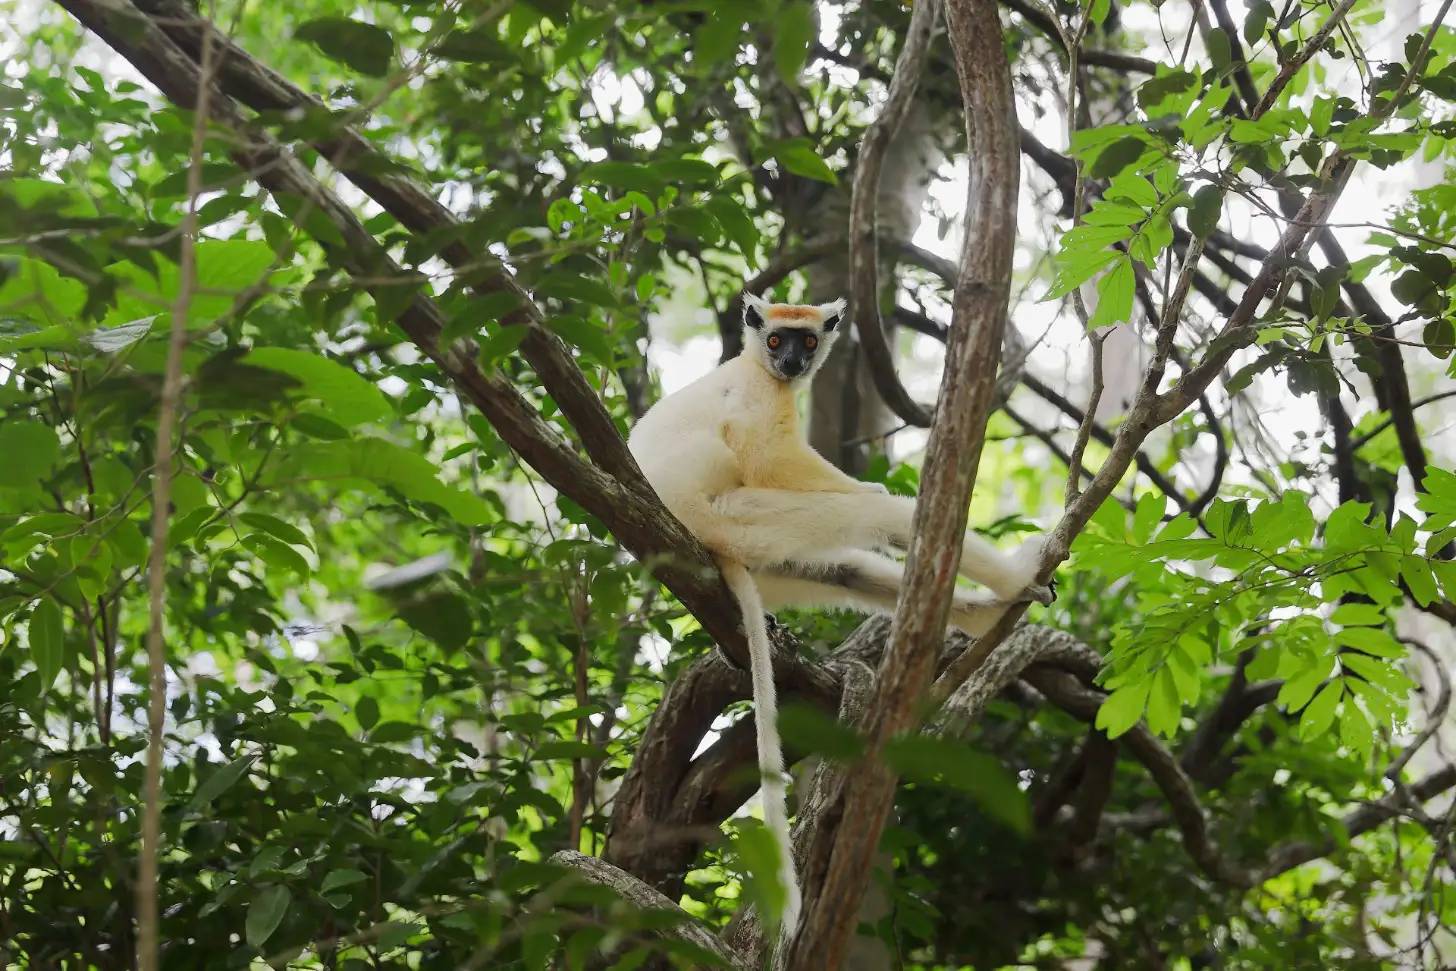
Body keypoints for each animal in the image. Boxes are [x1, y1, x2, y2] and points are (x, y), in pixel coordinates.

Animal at [626, 291, 1053, 943]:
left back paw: (990, 609)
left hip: (759, 544)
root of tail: (703, 544)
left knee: (845, 568)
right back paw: (1012, 578)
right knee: (881, 517)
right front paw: (871, 485)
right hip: (736, 515)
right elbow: (770, 457)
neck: (754, 366)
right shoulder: (756, 395)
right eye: (777, 341)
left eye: (806, 340)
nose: (793, 364)